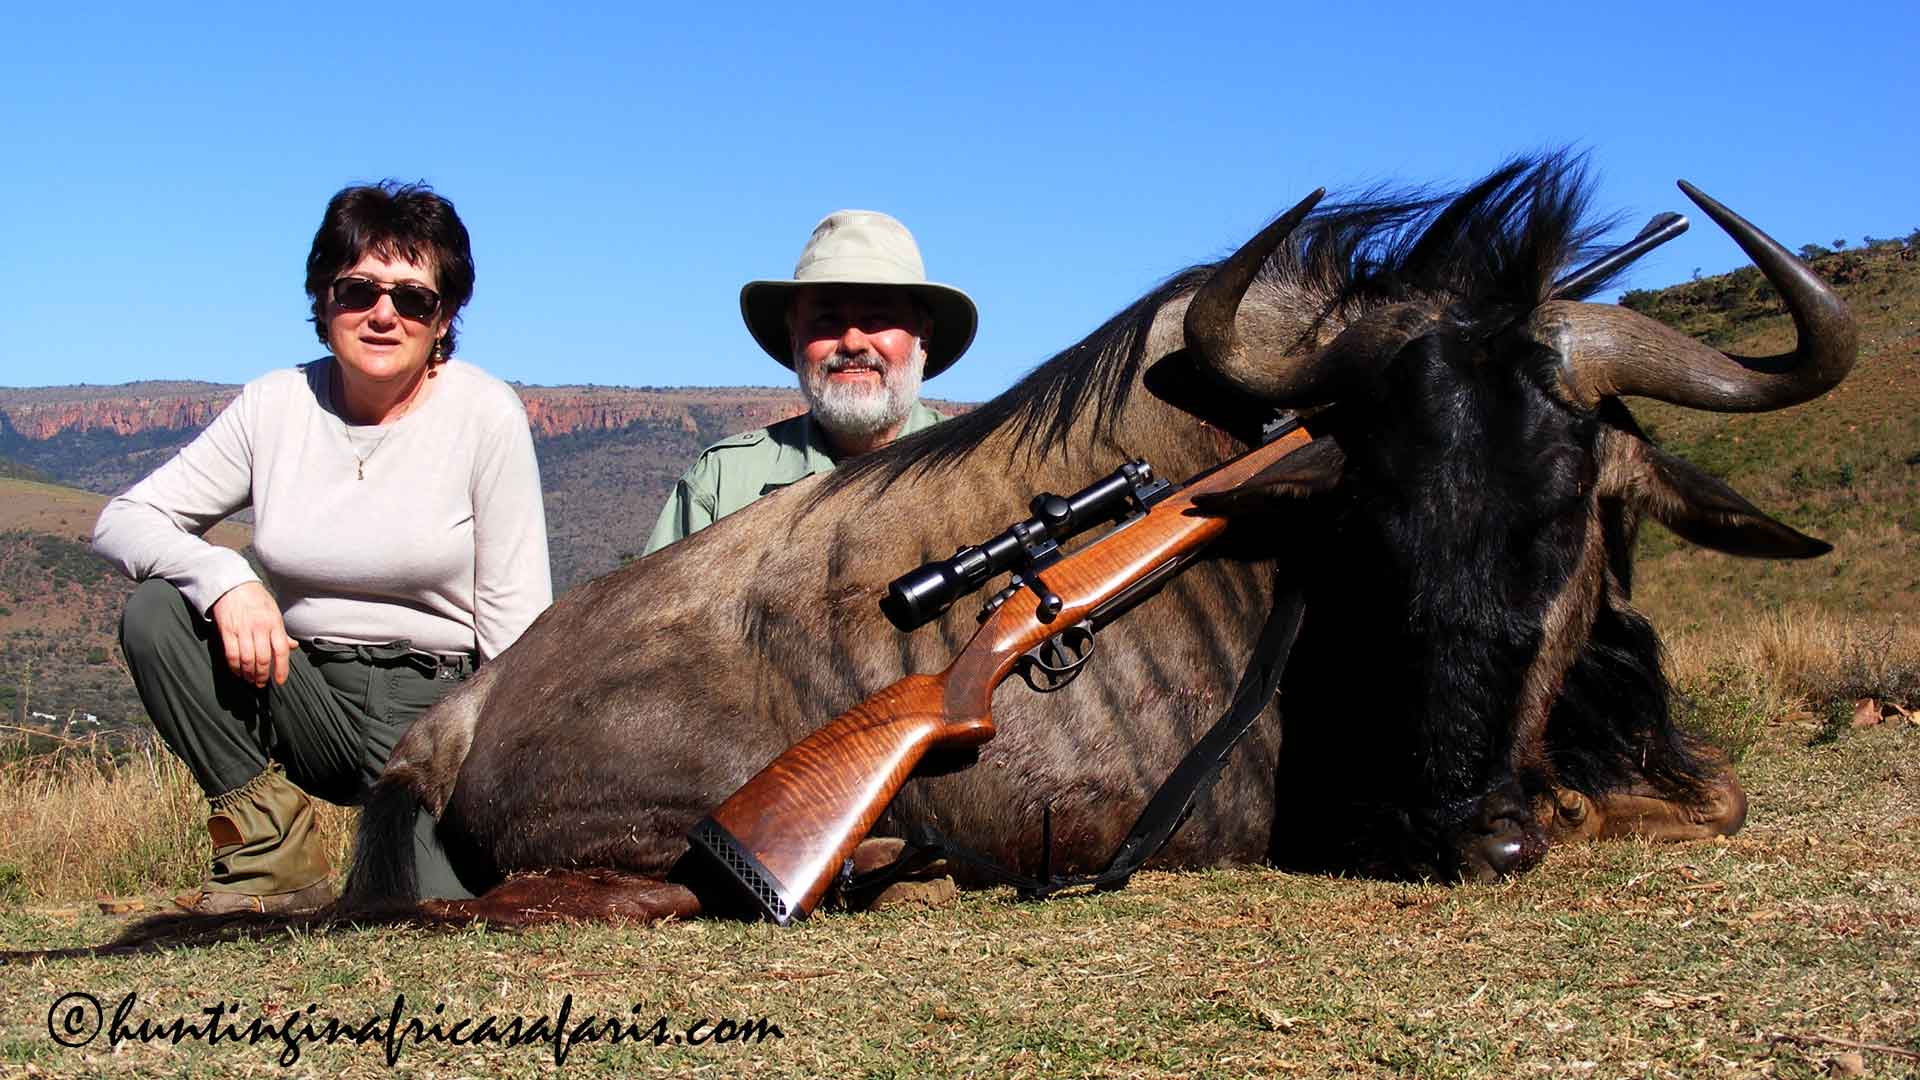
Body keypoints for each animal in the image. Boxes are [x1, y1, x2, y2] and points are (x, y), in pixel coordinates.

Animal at [342, 154, 1853, 921]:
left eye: (1570, 509)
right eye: (1378, 519)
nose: (1465, 835)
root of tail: (461, 718)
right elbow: (1674, 802)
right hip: (643, 823)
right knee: (582, 890)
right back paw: (876, 865)